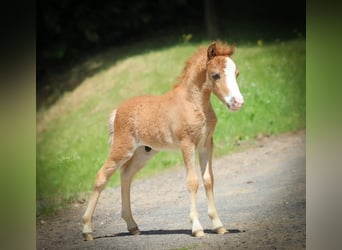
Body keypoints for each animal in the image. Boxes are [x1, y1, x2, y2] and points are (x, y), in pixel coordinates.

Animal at [82, 41, 244, 240]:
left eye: (237, 73)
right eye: (216, 75)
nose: (237, 102)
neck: (193, 103)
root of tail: (117, 110)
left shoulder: (206, 144)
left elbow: (208, 180)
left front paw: (218, 225)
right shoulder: (187, 144)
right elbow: (192, 181)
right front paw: (197, 228)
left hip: (144, 152)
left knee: (126, 175)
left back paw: (132, 226)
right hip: (123, 148)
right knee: (101, 176)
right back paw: (87, 230)